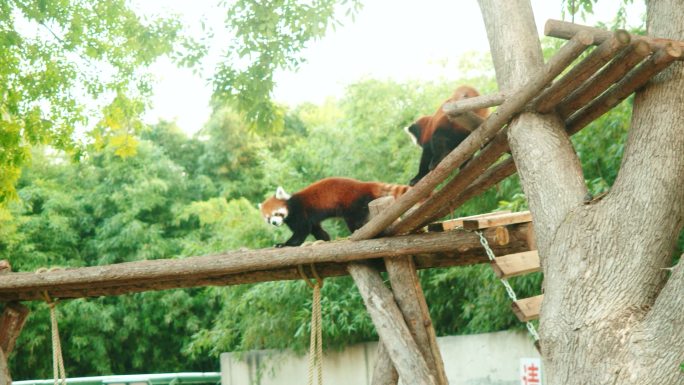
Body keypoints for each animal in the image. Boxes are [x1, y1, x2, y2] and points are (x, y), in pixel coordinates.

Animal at [258, 177, 408, 246]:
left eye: (276, 213)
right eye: (268, 218)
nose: (275, 223)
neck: (291, 206)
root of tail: (364, 184)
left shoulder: (300, 213)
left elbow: (302, 231)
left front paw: (284, 244)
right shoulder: (309, 218)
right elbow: (315, 229)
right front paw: (325, 239)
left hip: (353, 203)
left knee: (354, 220)